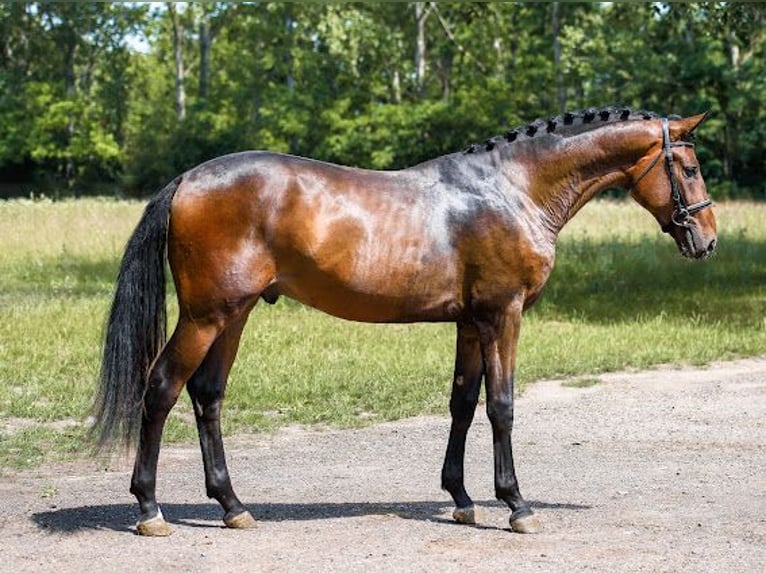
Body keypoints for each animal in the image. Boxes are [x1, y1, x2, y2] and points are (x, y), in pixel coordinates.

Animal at [93, 108, 716, 540]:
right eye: (688, 167)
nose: (707, 241)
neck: (511, 190)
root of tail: (188, 180)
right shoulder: (503, 314)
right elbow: (502, 405)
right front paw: (516, 505)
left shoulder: (471, 322)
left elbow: (463, 402)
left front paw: (462, 500)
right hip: (206, 315)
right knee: (162, 388)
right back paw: (149, 509)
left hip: (234, 313)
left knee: (207, 394)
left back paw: (232, 506)